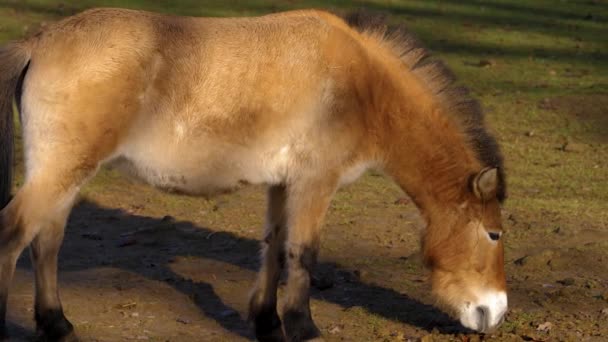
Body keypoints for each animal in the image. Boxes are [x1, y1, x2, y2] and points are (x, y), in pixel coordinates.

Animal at [0, 8, 506, 342]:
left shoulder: (282, 185)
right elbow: (303, 253)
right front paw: (303, 327)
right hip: (61, 173)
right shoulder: (314, 184)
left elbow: (275, 249)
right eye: (494, 234)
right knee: (14, 234)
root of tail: (40, 40)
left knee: (47, 242)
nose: (495, 312)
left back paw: (56, 323)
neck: (361, 85)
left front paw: (267, 322)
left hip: (65, 176)